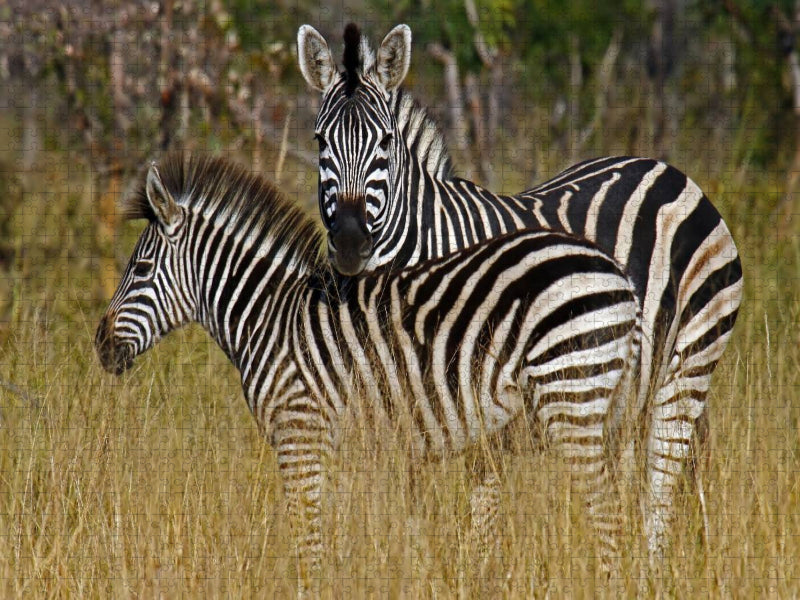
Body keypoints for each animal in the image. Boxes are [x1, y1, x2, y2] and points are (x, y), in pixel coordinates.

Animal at [96, 154, 641, 582]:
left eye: (139, 270)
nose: (100, 345)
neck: (270, 317)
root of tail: (616, 273)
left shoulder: (300, 431)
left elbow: (307, 535)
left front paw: (311, 586)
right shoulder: (333, 442)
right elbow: (334, 527)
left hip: (570, 393)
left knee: (607, 512)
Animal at [297, 23, 744, 564]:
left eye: (384, 141)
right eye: (320, 141)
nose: (348, 240)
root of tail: (668, 170)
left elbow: (481, 507)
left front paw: (476, 571)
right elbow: (407, 501)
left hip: (688, 363)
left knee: (660, 484)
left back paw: (653, 570)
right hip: (625, 387)